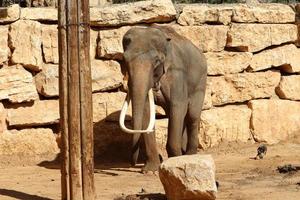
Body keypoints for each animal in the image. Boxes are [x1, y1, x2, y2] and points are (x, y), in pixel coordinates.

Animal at [118, 24, 207, 172]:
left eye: (156, 61)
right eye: (124, 60)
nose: (131, 163)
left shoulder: (177, 75)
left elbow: (178, 106)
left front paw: (175, 161)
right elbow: (147, 112)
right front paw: (150, 170)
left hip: (201, 81)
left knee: (192, 115)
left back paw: (190, 154)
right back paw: (183, 152)